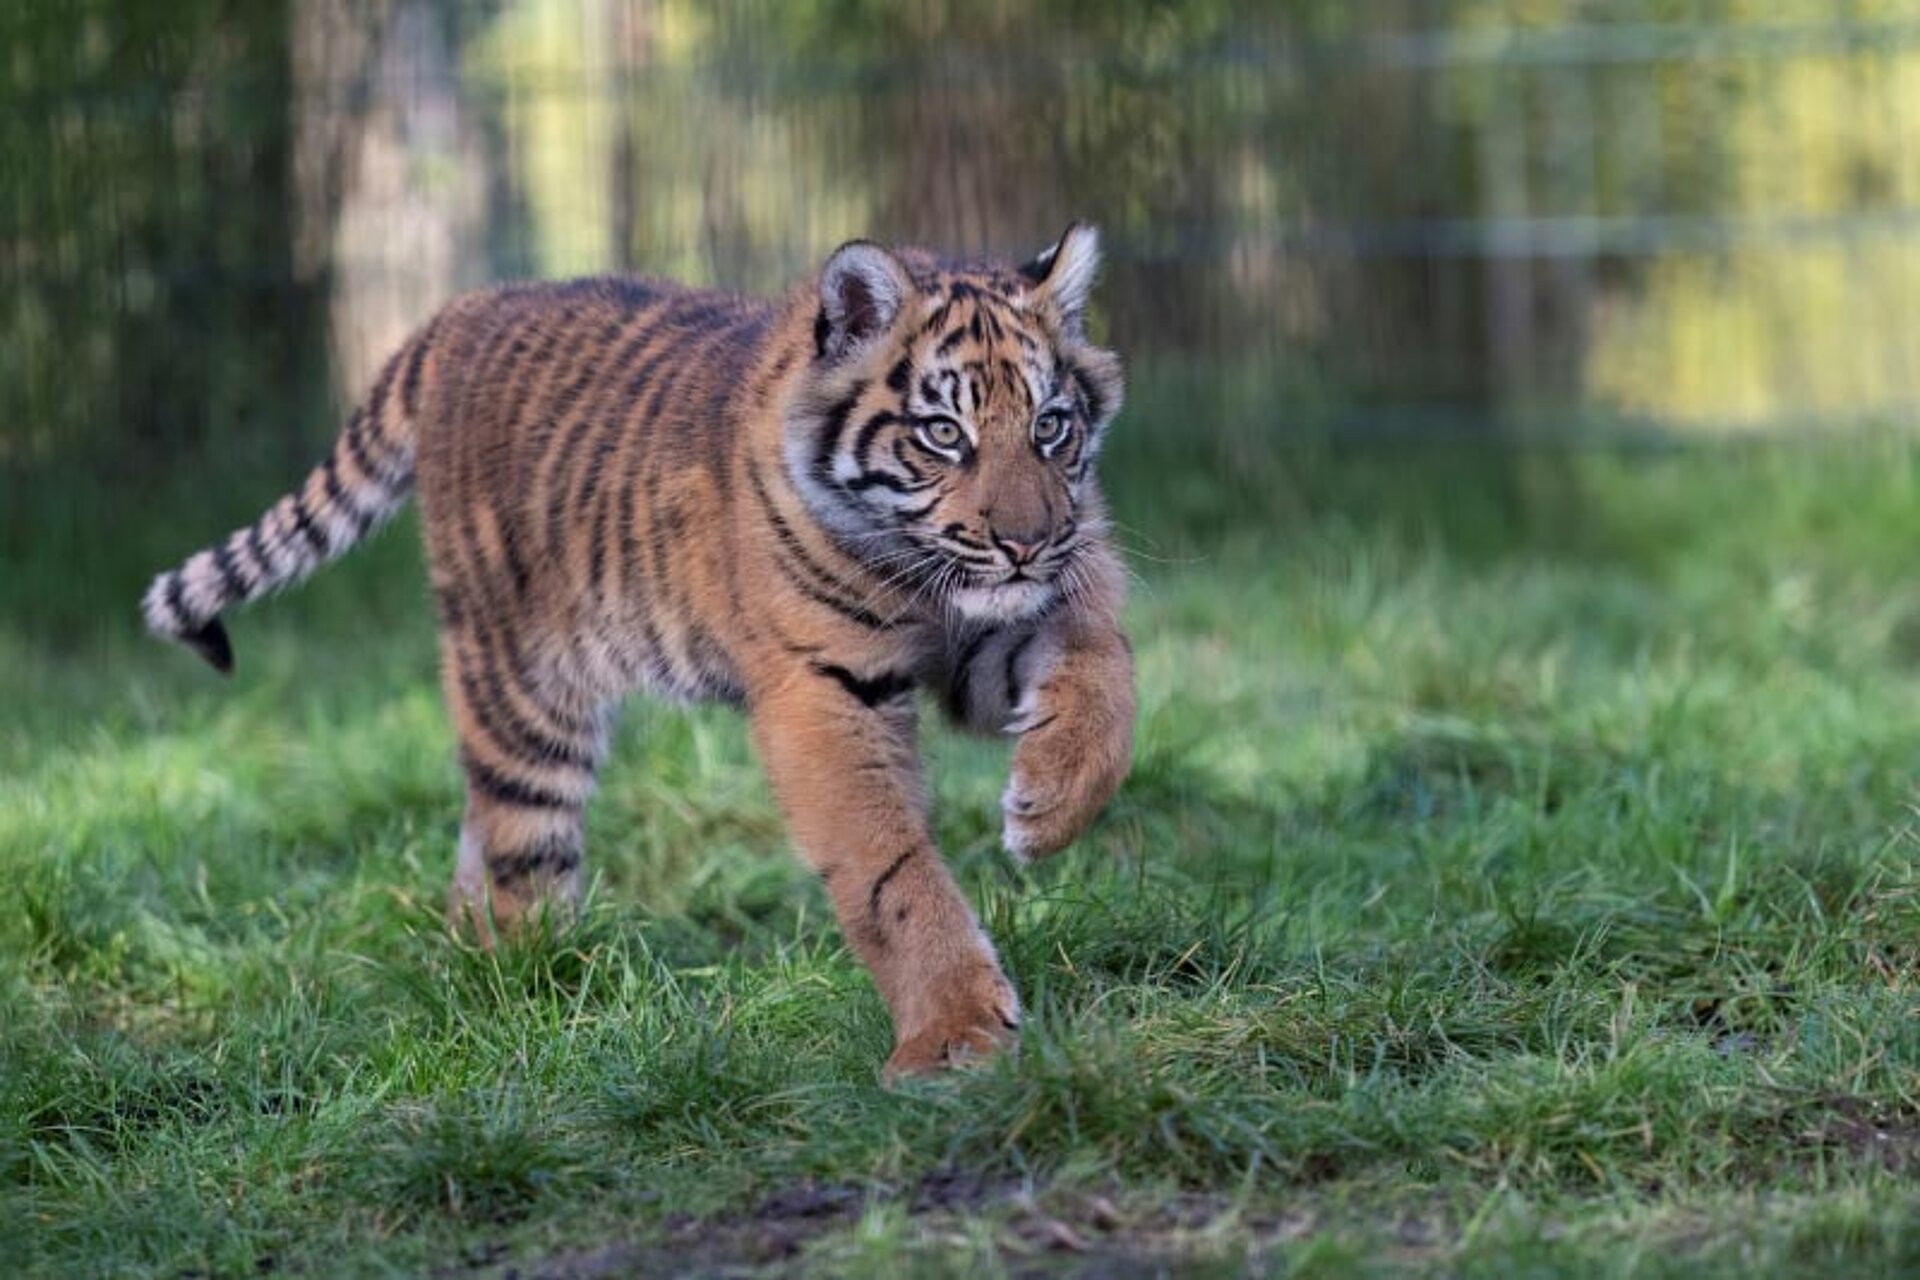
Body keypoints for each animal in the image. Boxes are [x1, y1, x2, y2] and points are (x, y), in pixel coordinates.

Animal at [142, 225, 1134, 1082]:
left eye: (1050, 426)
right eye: (942, 434)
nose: (1026, 543)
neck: (927, 581)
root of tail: (458, 313)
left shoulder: (996, 628)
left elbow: (1103, 664)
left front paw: (1046, 809)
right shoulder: (822, 689)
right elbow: (891, 871)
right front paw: (953, 1037)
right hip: (525, 690)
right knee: (516, 859)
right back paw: (542, 1005)